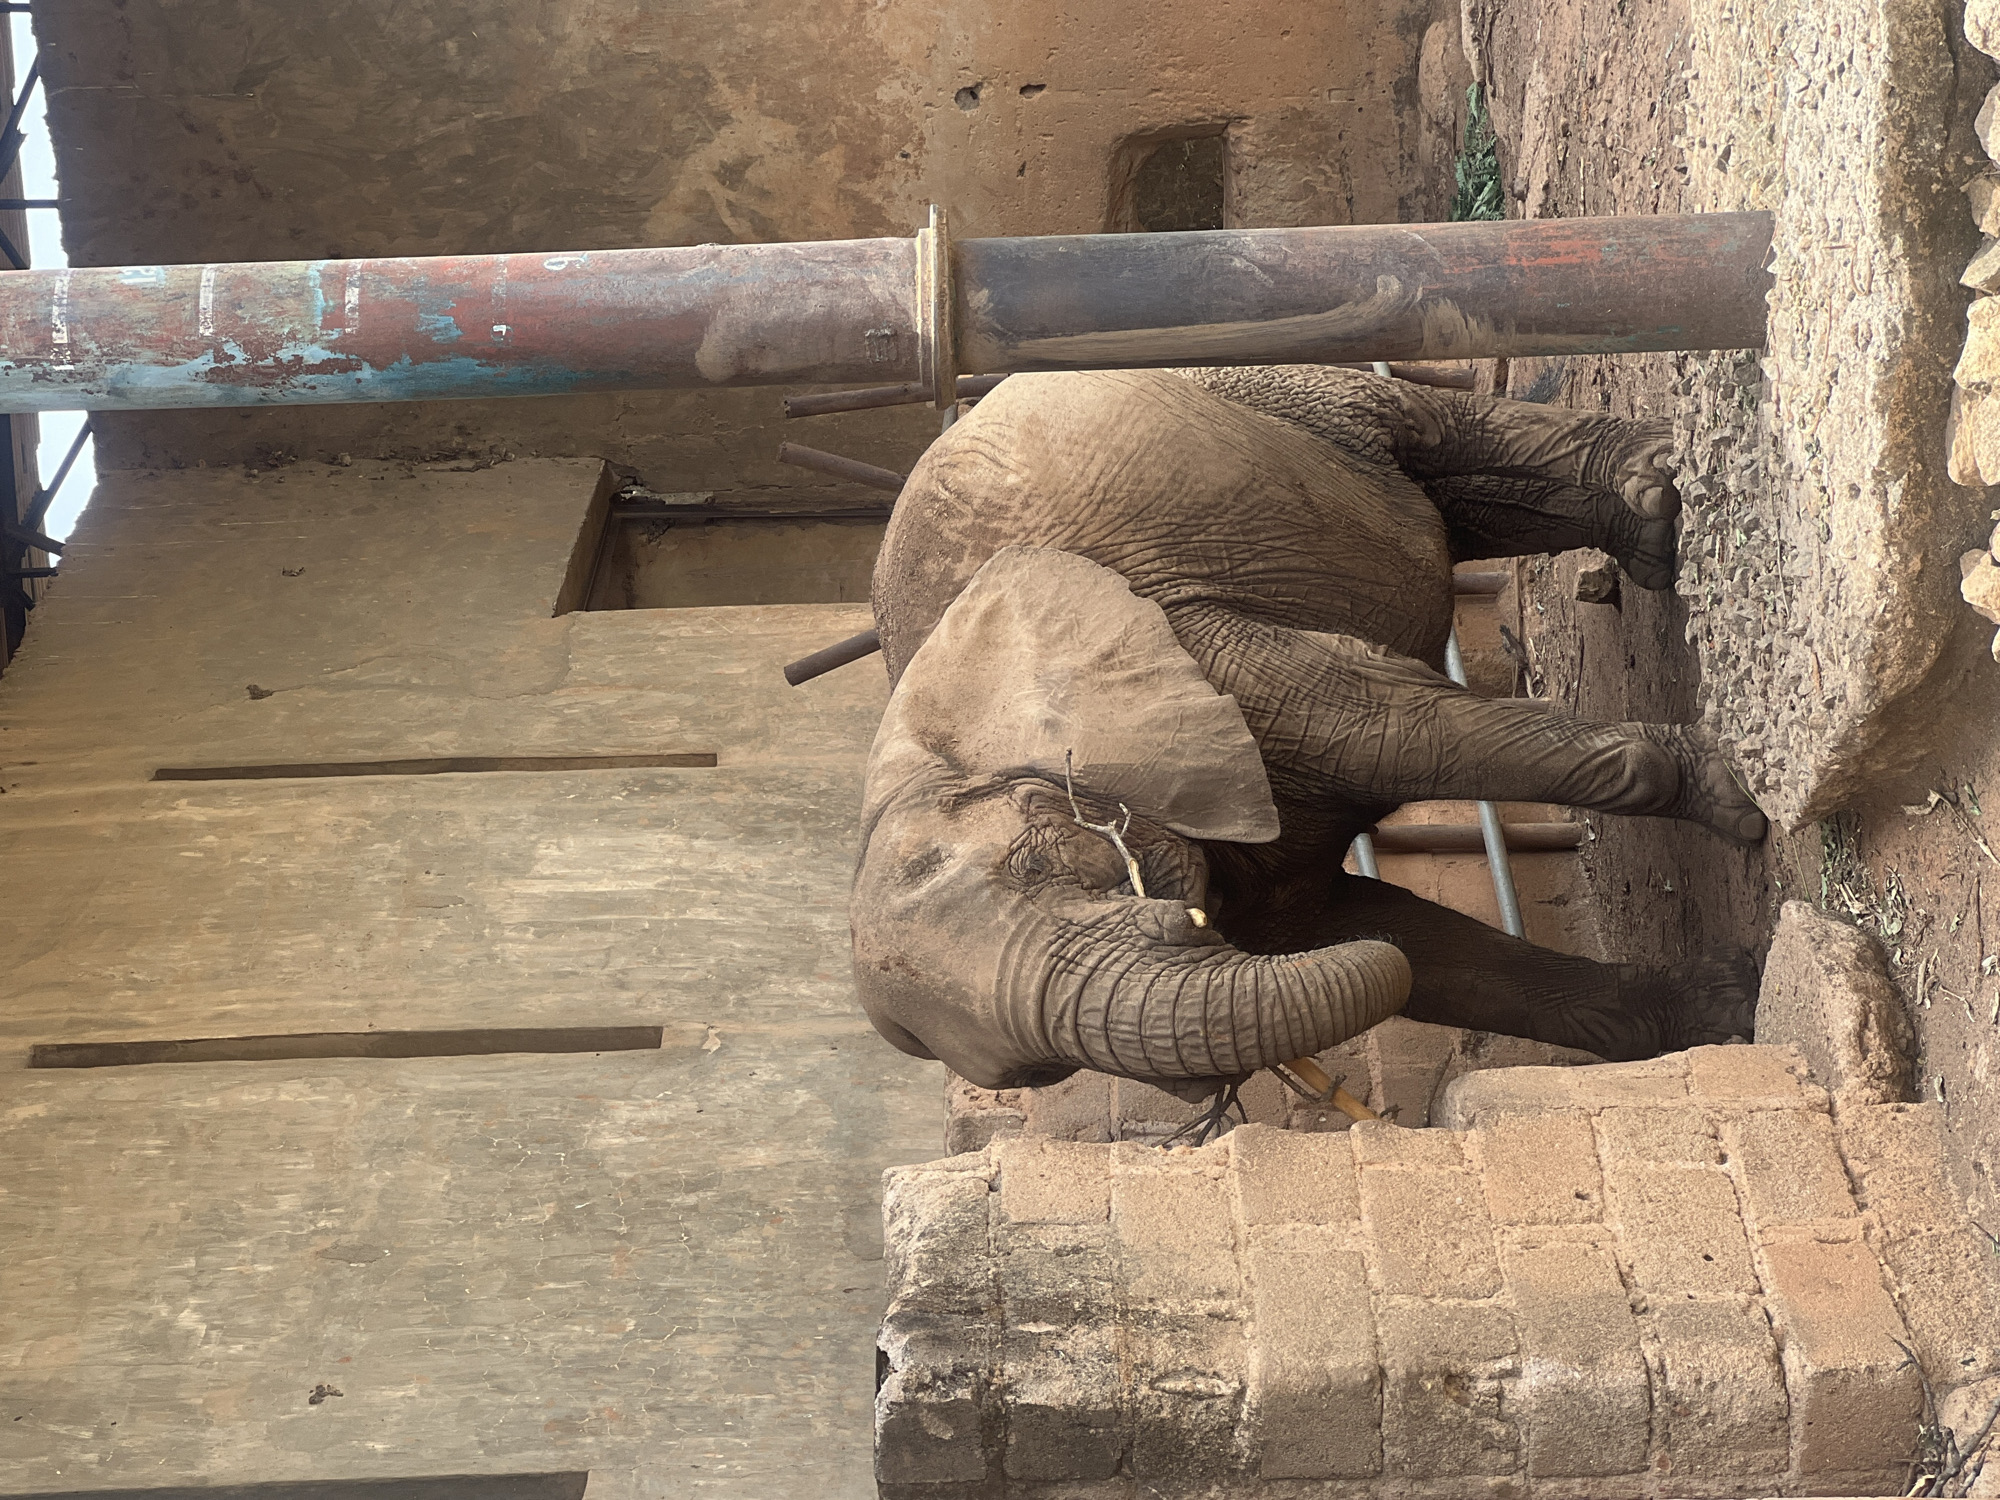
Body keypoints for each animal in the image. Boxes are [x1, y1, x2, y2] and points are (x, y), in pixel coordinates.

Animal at [850, 364, 1766, 1112]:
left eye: (1040, 861)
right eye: (1029, 1074)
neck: (943, 732)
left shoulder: (1199, 642)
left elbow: (1397, 732)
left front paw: (1738, 802)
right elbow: (1400, 946)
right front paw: (1726, 1010)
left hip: (1263, 390)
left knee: (1424, 430)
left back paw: (1654, 494)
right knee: (1453, 503)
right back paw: (1650, 528)